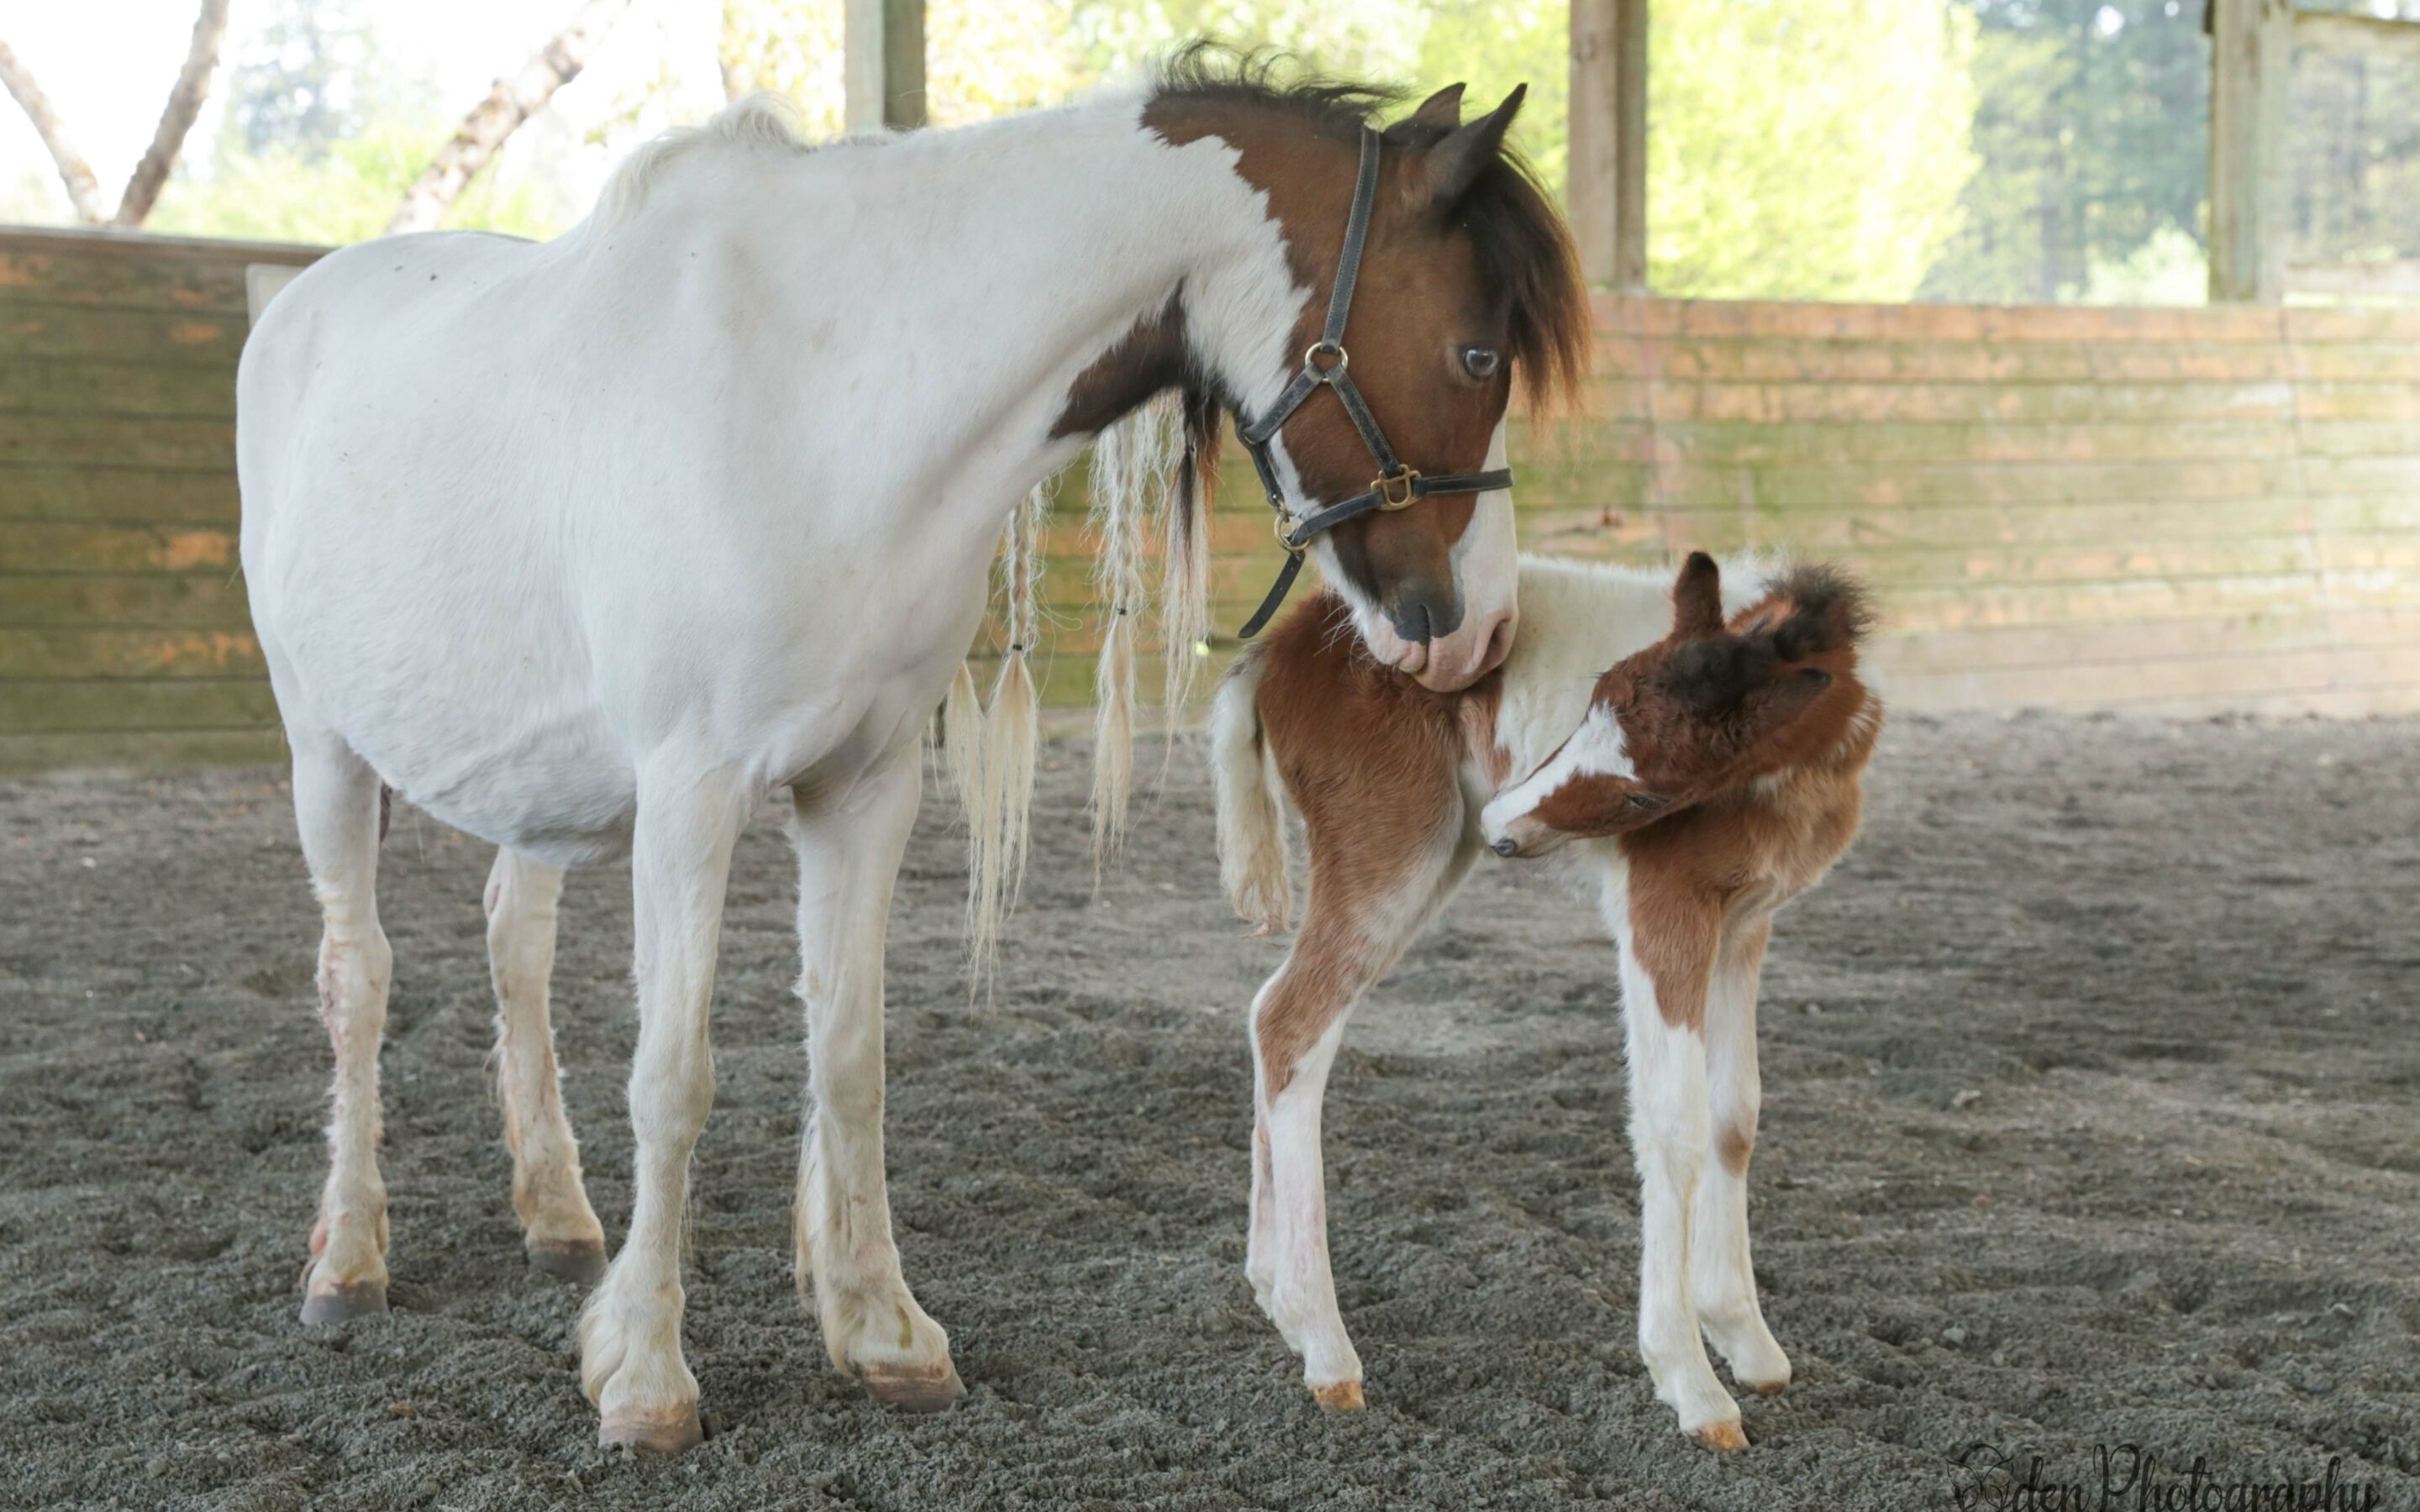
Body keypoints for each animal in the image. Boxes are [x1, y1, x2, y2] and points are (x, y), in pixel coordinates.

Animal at [240, 55, 1587, 1452]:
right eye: (1475, 351)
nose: (1480, 630)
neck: (829, 394)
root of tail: (302, 301)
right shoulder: (690, 795)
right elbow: (673, 1078)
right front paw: (649, 1376)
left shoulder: (865, 787)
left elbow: (852, 1055)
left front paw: (883, 1333)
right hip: (323, 748)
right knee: (358, 977)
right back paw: (347, 1261)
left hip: (534, 790)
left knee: (516, 946)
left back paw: (557, 1216)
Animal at [1219, 549, 1877, 1441]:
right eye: (1597, 696)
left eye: (1645, 795)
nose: (1507, 822)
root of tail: (1281, 646)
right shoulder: (1662, 907)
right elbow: (1672, 1125)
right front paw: (1691, 1381)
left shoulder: (1745, 924)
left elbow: (1733, 1117)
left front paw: (1745, 1337)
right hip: (1395, 853)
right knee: (1294, 1025)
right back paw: (1326, 1349)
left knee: (1269, 1015)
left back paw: (1279, 1303)